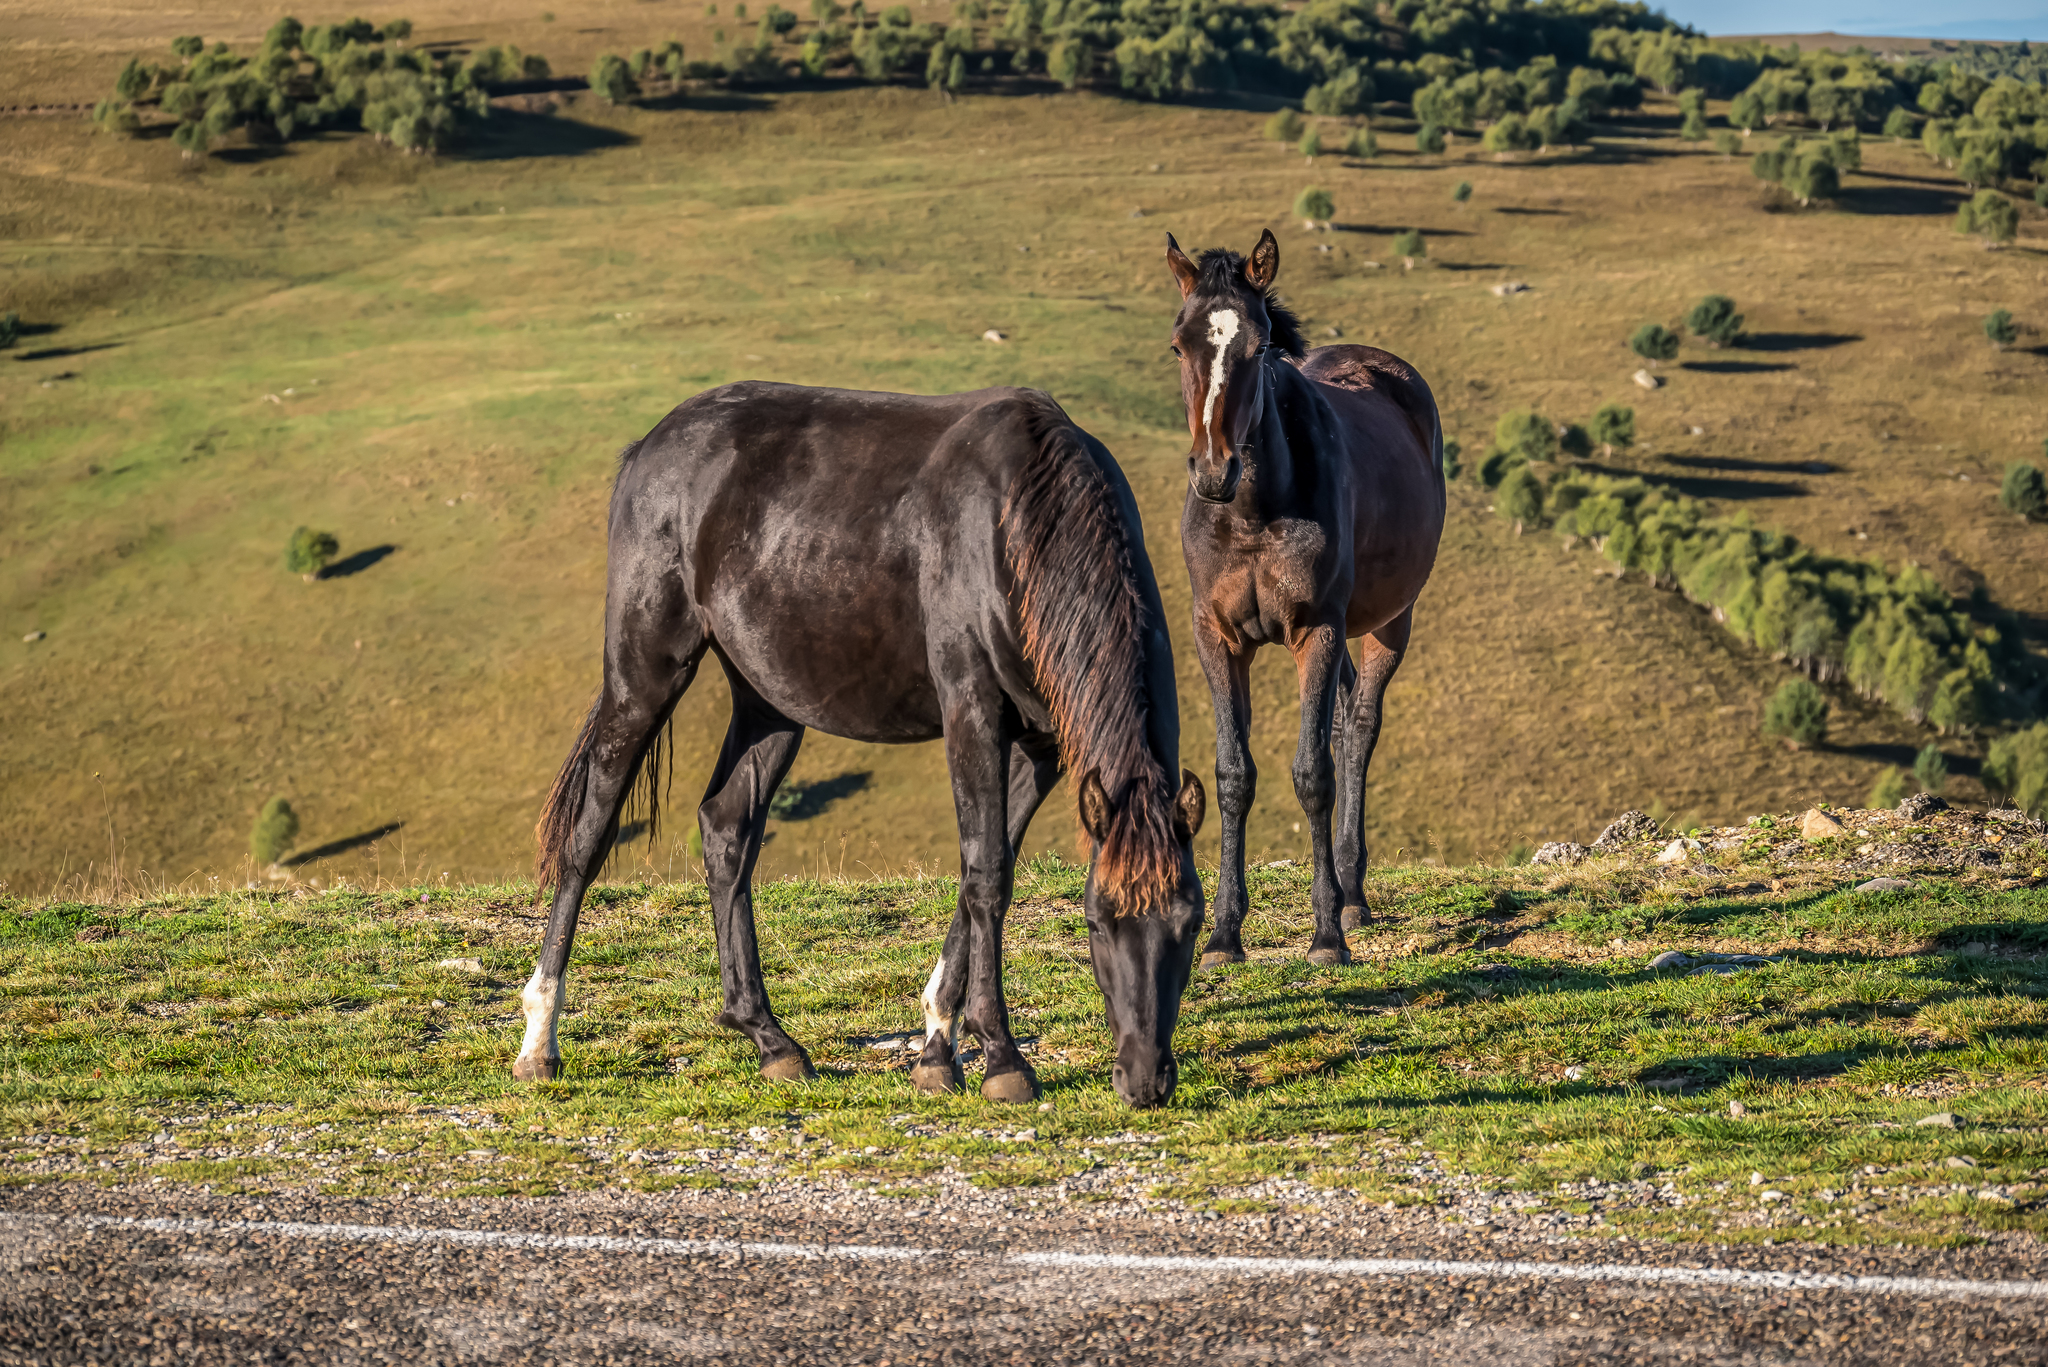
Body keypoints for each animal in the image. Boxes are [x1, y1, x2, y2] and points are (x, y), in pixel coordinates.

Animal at [520, 383, 1204, 1114]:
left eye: (1191, 924)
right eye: (1097, 923)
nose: (1145, 1079)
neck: (1017, 522)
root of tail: (649, 446)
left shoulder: (1045, 743)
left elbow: (986, 870)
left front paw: (937, 1047)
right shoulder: (971, 709)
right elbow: (988, 874)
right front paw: (1000, 1057)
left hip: (769, 704)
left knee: (726, 829)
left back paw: (769, 1038)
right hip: (644, 675)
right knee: (588, 835)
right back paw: (539, 1040)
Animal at [1171, 229, 1441, 967]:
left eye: (1259, 346)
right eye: (1179, 343)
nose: (1214, 471)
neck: (1254, 512)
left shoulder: (1315, 630)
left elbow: (1314, 772)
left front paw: (1324, 935)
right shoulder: (1217, 637)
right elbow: (1234, 775)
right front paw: (1224, 934)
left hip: (1387, 623)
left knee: (1360, 728)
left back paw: (1351, 899)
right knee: (1346, 718)